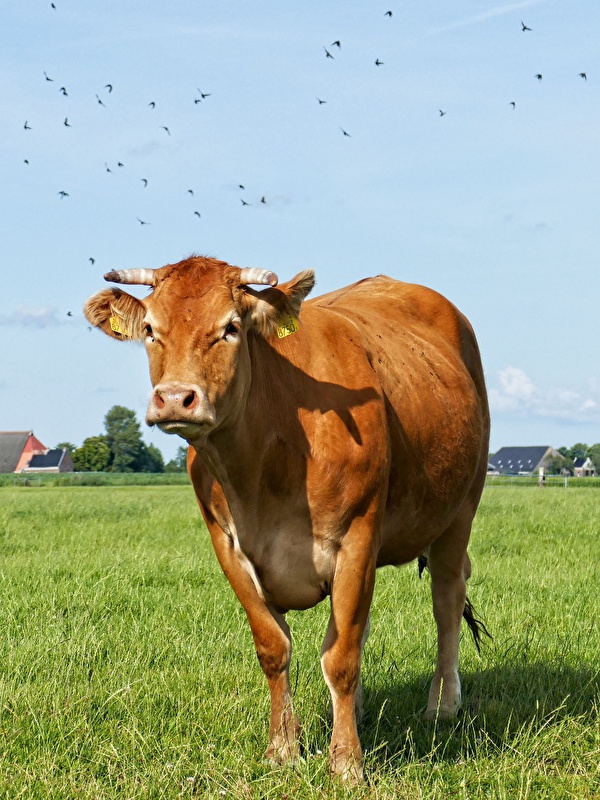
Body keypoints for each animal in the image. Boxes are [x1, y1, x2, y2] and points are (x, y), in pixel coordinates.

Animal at [83, 256, 488, 780]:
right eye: (151, 329)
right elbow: (276, 648)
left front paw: (347, 763)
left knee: (446, 600)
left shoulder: (357, 534)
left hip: (461, 508)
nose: (175, 399)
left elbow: (340, 658)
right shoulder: (228, 546)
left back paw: (442, 704)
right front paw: (283, 749)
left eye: (231, 328)